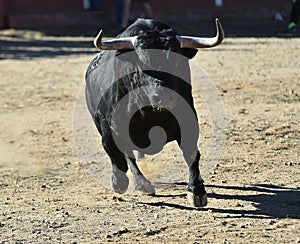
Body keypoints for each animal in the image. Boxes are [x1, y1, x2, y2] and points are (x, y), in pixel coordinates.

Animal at [84, 18, 223, 208]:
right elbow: (115, 152)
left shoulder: (188, 122)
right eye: (142, 64)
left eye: (177, 63)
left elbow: (191, 153)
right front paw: (118, 182)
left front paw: (196, 191)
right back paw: (142, 184)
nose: (162, 95)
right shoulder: (107, 125)